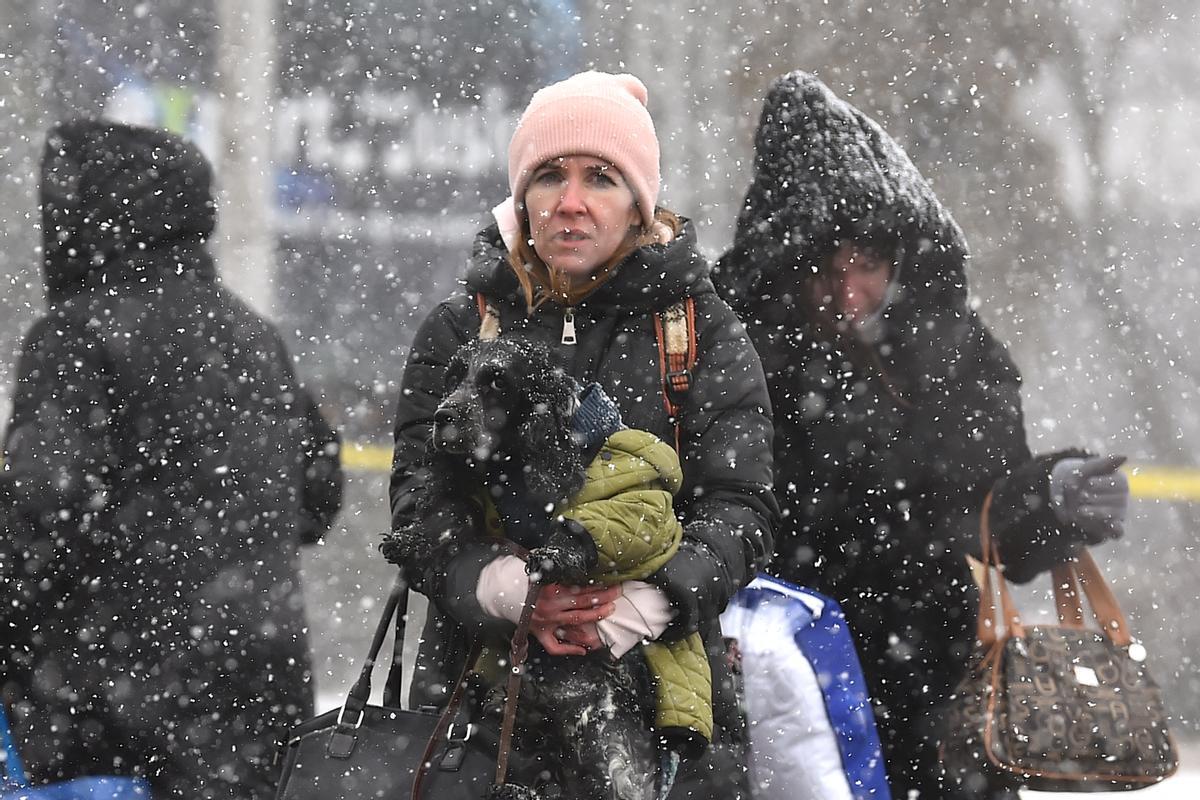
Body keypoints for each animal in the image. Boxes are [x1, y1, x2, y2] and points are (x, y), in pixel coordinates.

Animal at [384, 338, 657, 800]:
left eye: (497, 381)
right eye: (453, 377)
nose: (443, 416)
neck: (506, 470)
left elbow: (613, 522)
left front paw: (554, 556)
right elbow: (451, 519)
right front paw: (412, 540)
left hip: (605, 739)